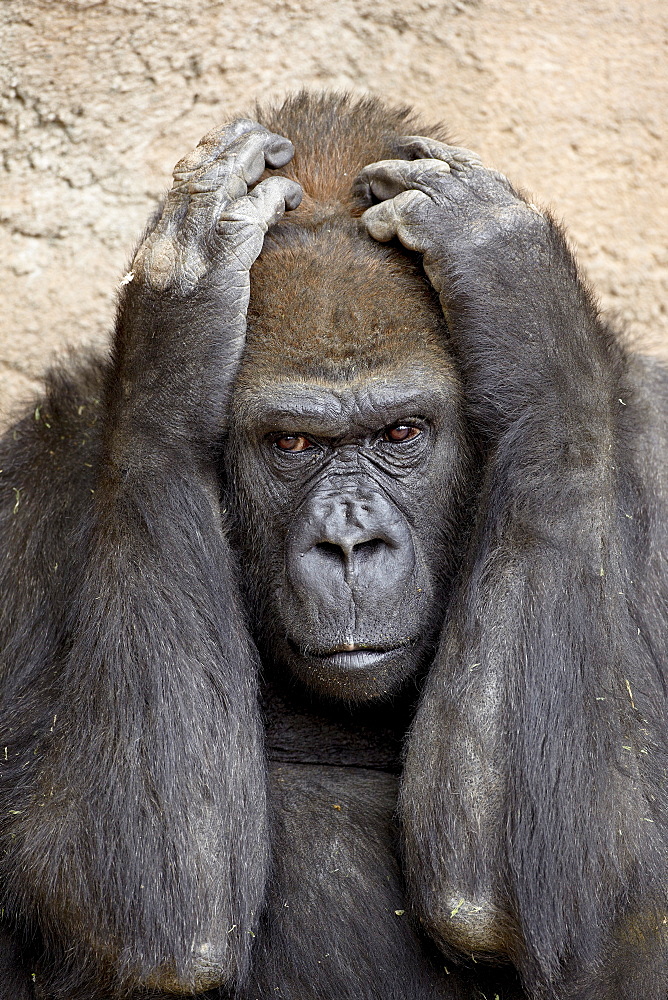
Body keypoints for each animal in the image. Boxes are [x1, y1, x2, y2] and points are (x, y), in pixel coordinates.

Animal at [1, 94, 668, 1000]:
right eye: (292, 444)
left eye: (402, 432)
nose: (350, 542)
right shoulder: (28, 489)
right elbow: (147, 916)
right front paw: (178, 319)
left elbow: (529, 888)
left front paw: (523, 304)